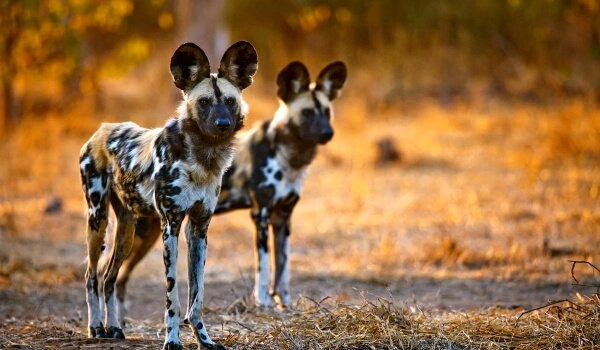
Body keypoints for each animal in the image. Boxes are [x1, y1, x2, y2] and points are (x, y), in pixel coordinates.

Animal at [78, 41, 256, 350]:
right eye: (204, 102)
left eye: (230, 101)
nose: (223, 124)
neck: (203, 158)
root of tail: (103, 128)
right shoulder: (170, 226)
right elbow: (173, 297)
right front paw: (172, 340)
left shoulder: (199, 229)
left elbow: (196, 297)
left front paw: (204, 339)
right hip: (97, 220)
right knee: (91, 275)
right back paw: (96, 327)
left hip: (127, 232)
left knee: (109, 277)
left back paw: (114, 327)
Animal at [112, 60, 346, 314]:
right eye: (307, 113)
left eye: (327, 112)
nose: (328, 133)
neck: (288, 156)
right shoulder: (261, 215)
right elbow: (264, 268)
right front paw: (264, 303)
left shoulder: (283, 217)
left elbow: (282, 269)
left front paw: (285, 304)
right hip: (142, 234)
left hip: (149, 234)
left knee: (119, 279)